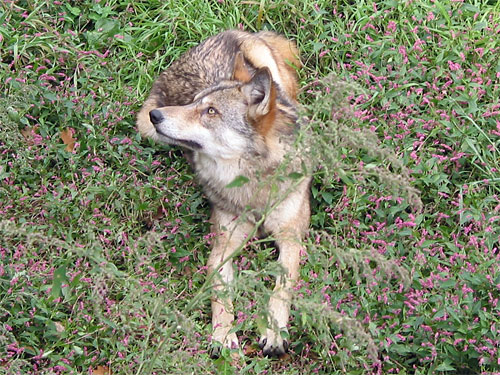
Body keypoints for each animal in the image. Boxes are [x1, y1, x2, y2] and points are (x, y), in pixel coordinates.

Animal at [136, 30, 308, 358]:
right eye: (192, 103)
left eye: (211, 111)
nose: (156, 115)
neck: (253, 185)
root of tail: (232, 32)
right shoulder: (222, 247)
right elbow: (221, 294)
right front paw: (223, 334)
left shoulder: (291, 239)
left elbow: (282, 285)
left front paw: (274, 331)